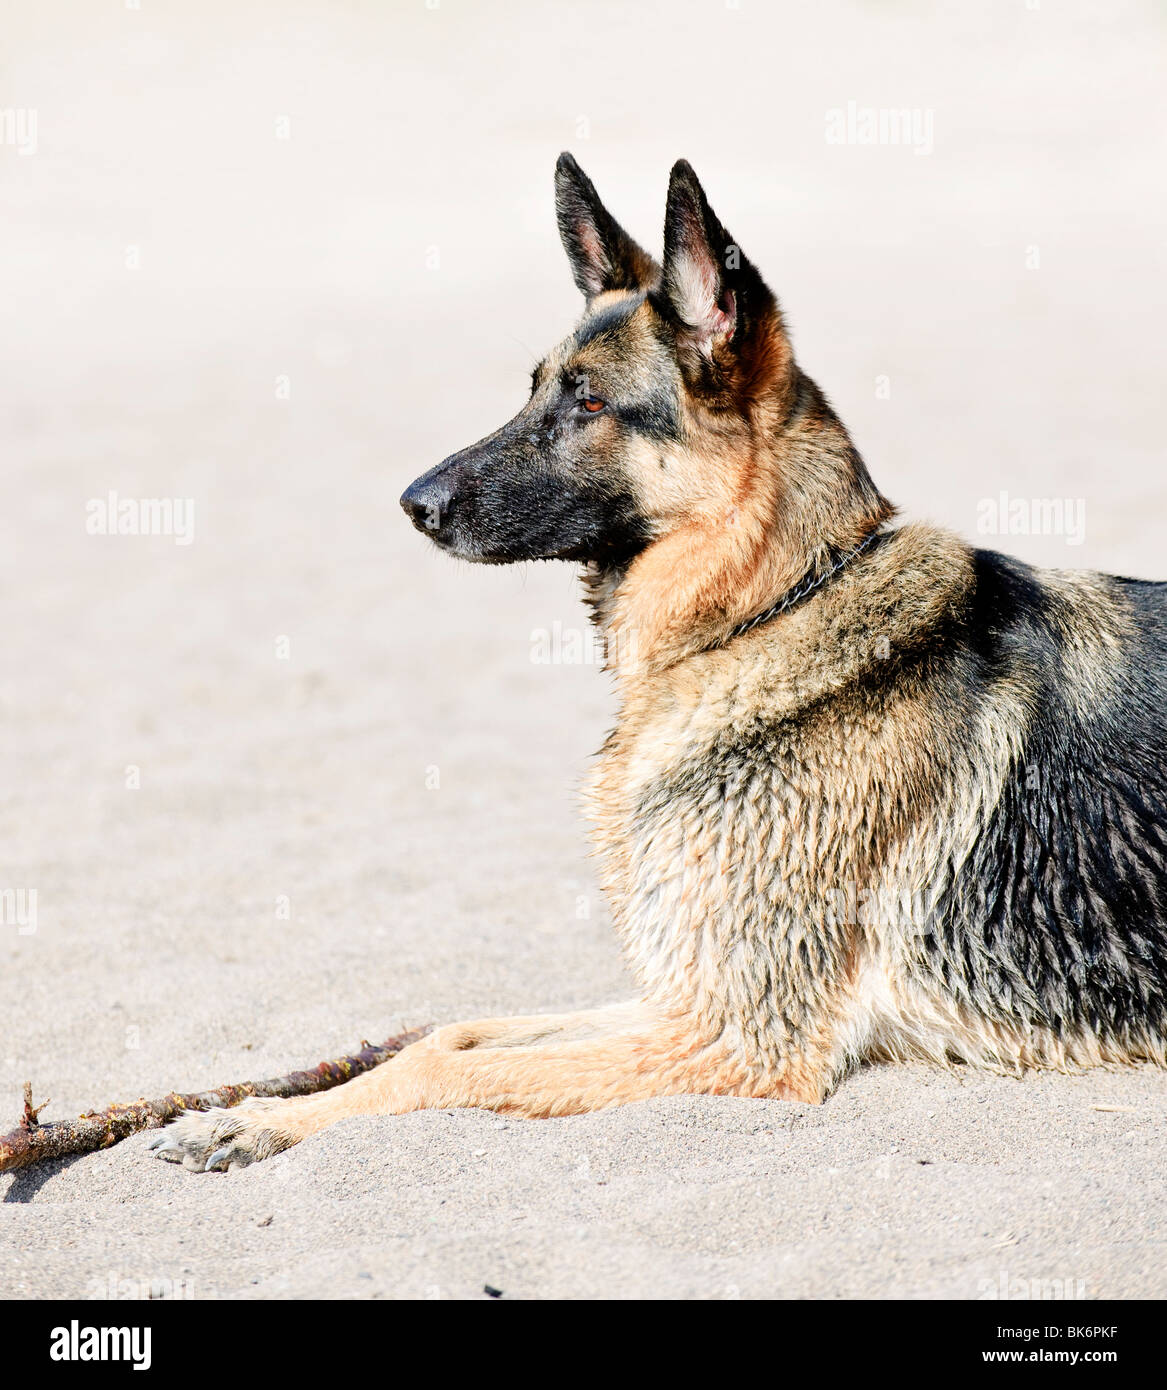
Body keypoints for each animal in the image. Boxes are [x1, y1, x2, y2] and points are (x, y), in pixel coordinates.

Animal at [150, 154, 1167, 1173]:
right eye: (532, 389)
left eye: (592, 402)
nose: (413, 503)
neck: (767, 611)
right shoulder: (681, 997)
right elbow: (453, 1034)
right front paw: (258, 1113)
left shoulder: (731, 1034)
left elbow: (448, 1068)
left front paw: (263, 1120)